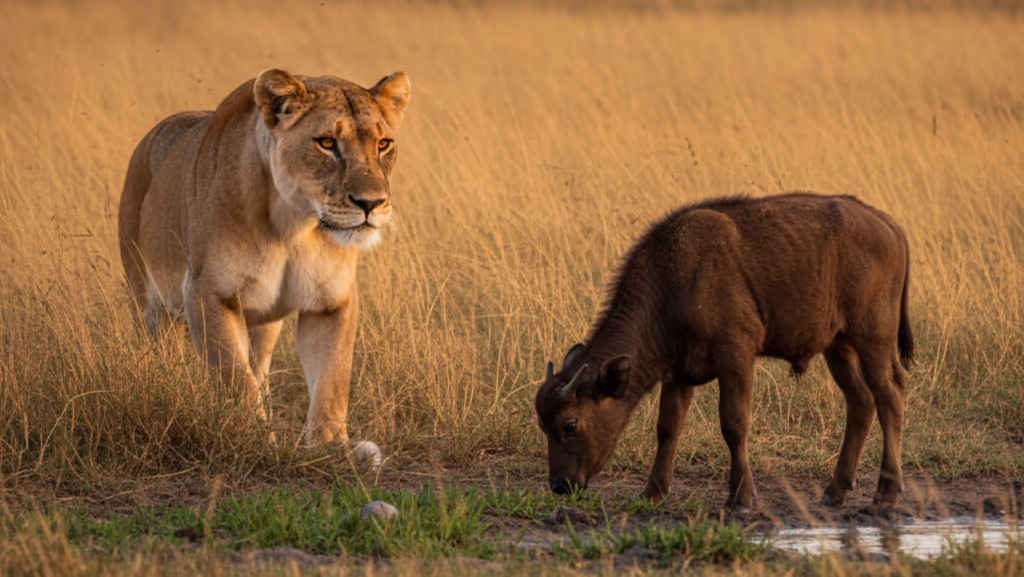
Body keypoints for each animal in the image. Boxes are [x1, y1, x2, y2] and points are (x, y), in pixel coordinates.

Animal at [535, 193, 913, 510]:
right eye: (543, 425)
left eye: (570, 425)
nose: (558, 485)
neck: (675, 281)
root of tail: (888, 224)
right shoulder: (678, 372)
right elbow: (667, 428)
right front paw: (652, 493)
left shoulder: (736, 358)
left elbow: (733, 424)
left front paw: (741, 498)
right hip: (839, 347)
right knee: (861, 401)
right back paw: (834, 491)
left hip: (873, 340)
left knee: (889, 396)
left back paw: (885, 495)